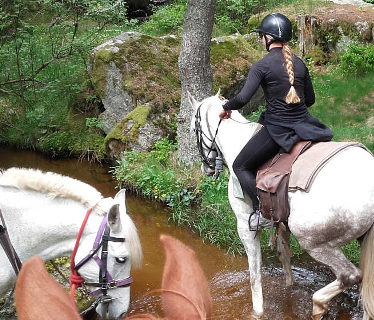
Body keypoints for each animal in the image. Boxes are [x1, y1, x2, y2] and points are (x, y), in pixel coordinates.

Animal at [190, 93, 374, 320]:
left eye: (193, 129)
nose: (205, 168)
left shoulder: (245, 227)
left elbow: (255, 275)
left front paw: (257, 312)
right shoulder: (281, 222)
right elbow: (284, 257)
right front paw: (289, 289)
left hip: (315, 242)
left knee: (350, 276)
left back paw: (318, 305)